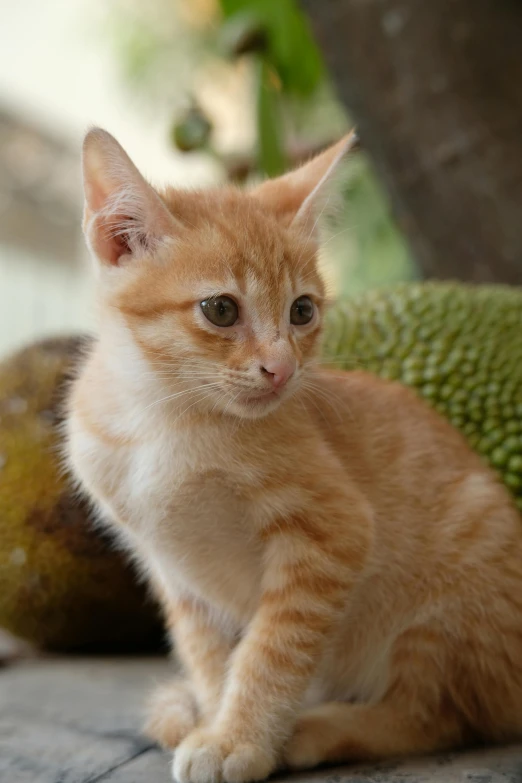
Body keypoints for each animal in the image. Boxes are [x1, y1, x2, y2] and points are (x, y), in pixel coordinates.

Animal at [66, 130, 522, 783]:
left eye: (301, 311)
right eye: (221, 310)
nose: (282, 369)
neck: (163, 422)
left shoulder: (335, 533)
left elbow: (272, 649)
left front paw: (239, 739)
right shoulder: (175, 570)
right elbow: (208, 655)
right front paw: (214, 715)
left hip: (450, 597)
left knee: (432, 715)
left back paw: (318, 729)